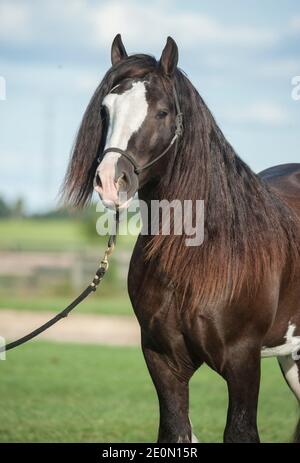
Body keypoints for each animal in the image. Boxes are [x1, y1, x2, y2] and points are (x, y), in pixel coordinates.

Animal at [61, 35, 300, 442]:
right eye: (105, 110)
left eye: (161, 112)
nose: (109, 181)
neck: (200, 255)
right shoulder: (162, 359)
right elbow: (175, 430)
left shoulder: (243, 361)